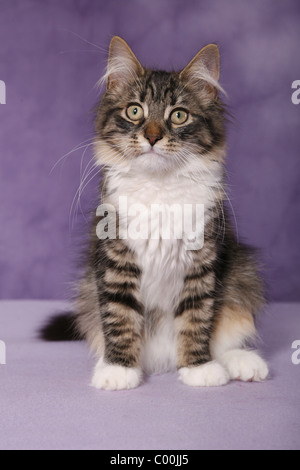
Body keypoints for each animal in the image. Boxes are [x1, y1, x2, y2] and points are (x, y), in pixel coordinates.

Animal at [43, 35, 268, 390]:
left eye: (178, 116)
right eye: (134, 111)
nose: (151, 136)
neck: (159, 186)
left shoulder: (202, 262)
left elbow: (197, 320)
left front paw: (198, 368)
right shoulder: (115, 260)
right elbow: (119, 318)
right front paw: (119, 370)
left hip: (243, 276)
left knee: (225, 335)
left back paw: (242, 363)